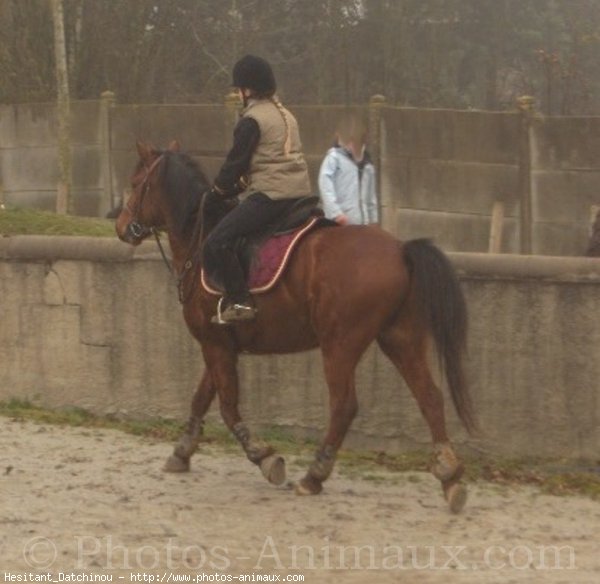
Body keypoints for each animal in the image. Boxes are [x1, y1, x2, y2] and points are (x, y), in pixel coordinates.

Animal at [115, 140, 476, 512]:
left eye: (136, 182)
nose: (122, 225)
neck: (200, 240)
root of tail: (401, 250)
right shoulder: (220, 344)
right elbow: (201, 398)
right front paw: (182, 452)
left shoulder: (214, 344)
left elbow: (228, 408)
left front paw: (264, 457)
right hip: (400, 338)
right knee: (429, 396)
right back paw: (450, 476)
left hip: (340, 344)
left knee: (344, 406)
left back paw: (315, 475)